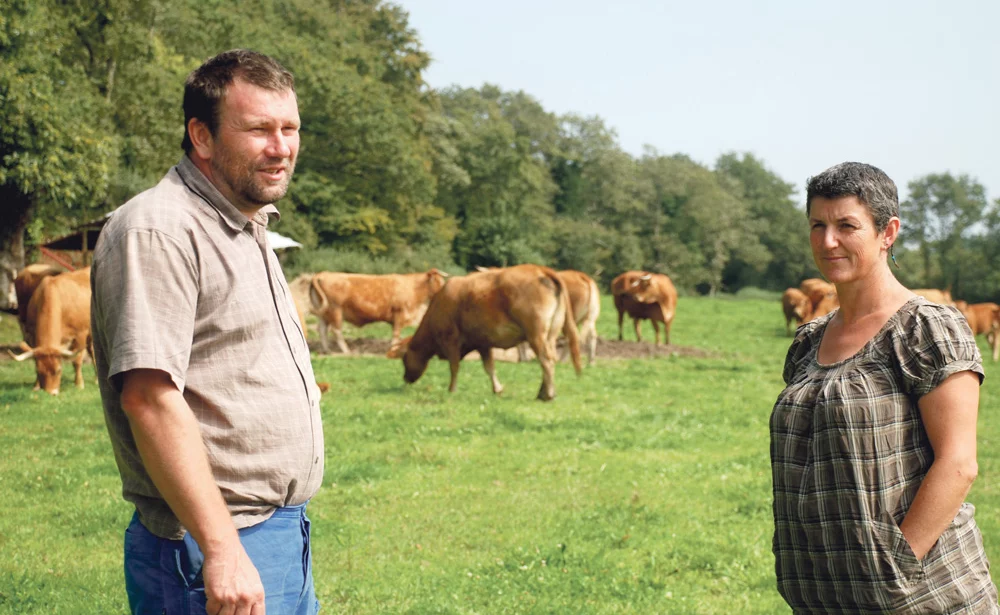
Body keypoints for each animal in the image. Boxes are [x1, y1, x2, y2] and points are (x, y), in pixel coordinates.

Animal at [304, 268, 446, 354]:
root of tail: (323, 273)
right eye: (440, 282)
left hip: (323, 313)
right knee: (336, 330)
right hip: (336, 310)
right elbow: (396, 333)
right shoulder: (399, 313)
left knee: (322, 330)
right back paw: (347, 351)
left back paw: (326, 350)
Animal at [390, 266, 580, 402]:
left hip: (536, 334)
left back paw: (548, 394)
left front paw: (452, 390)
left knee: (546, 360)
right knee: (549, 359)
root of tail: (540, 269)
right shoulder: (483, 343)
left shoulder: (451, 339)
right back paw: (543, 392)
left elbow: (454, 367)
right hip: (550, 335)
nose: (405, 378)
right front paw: (498, 389)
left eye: (404, 358)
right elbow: (489, 367)